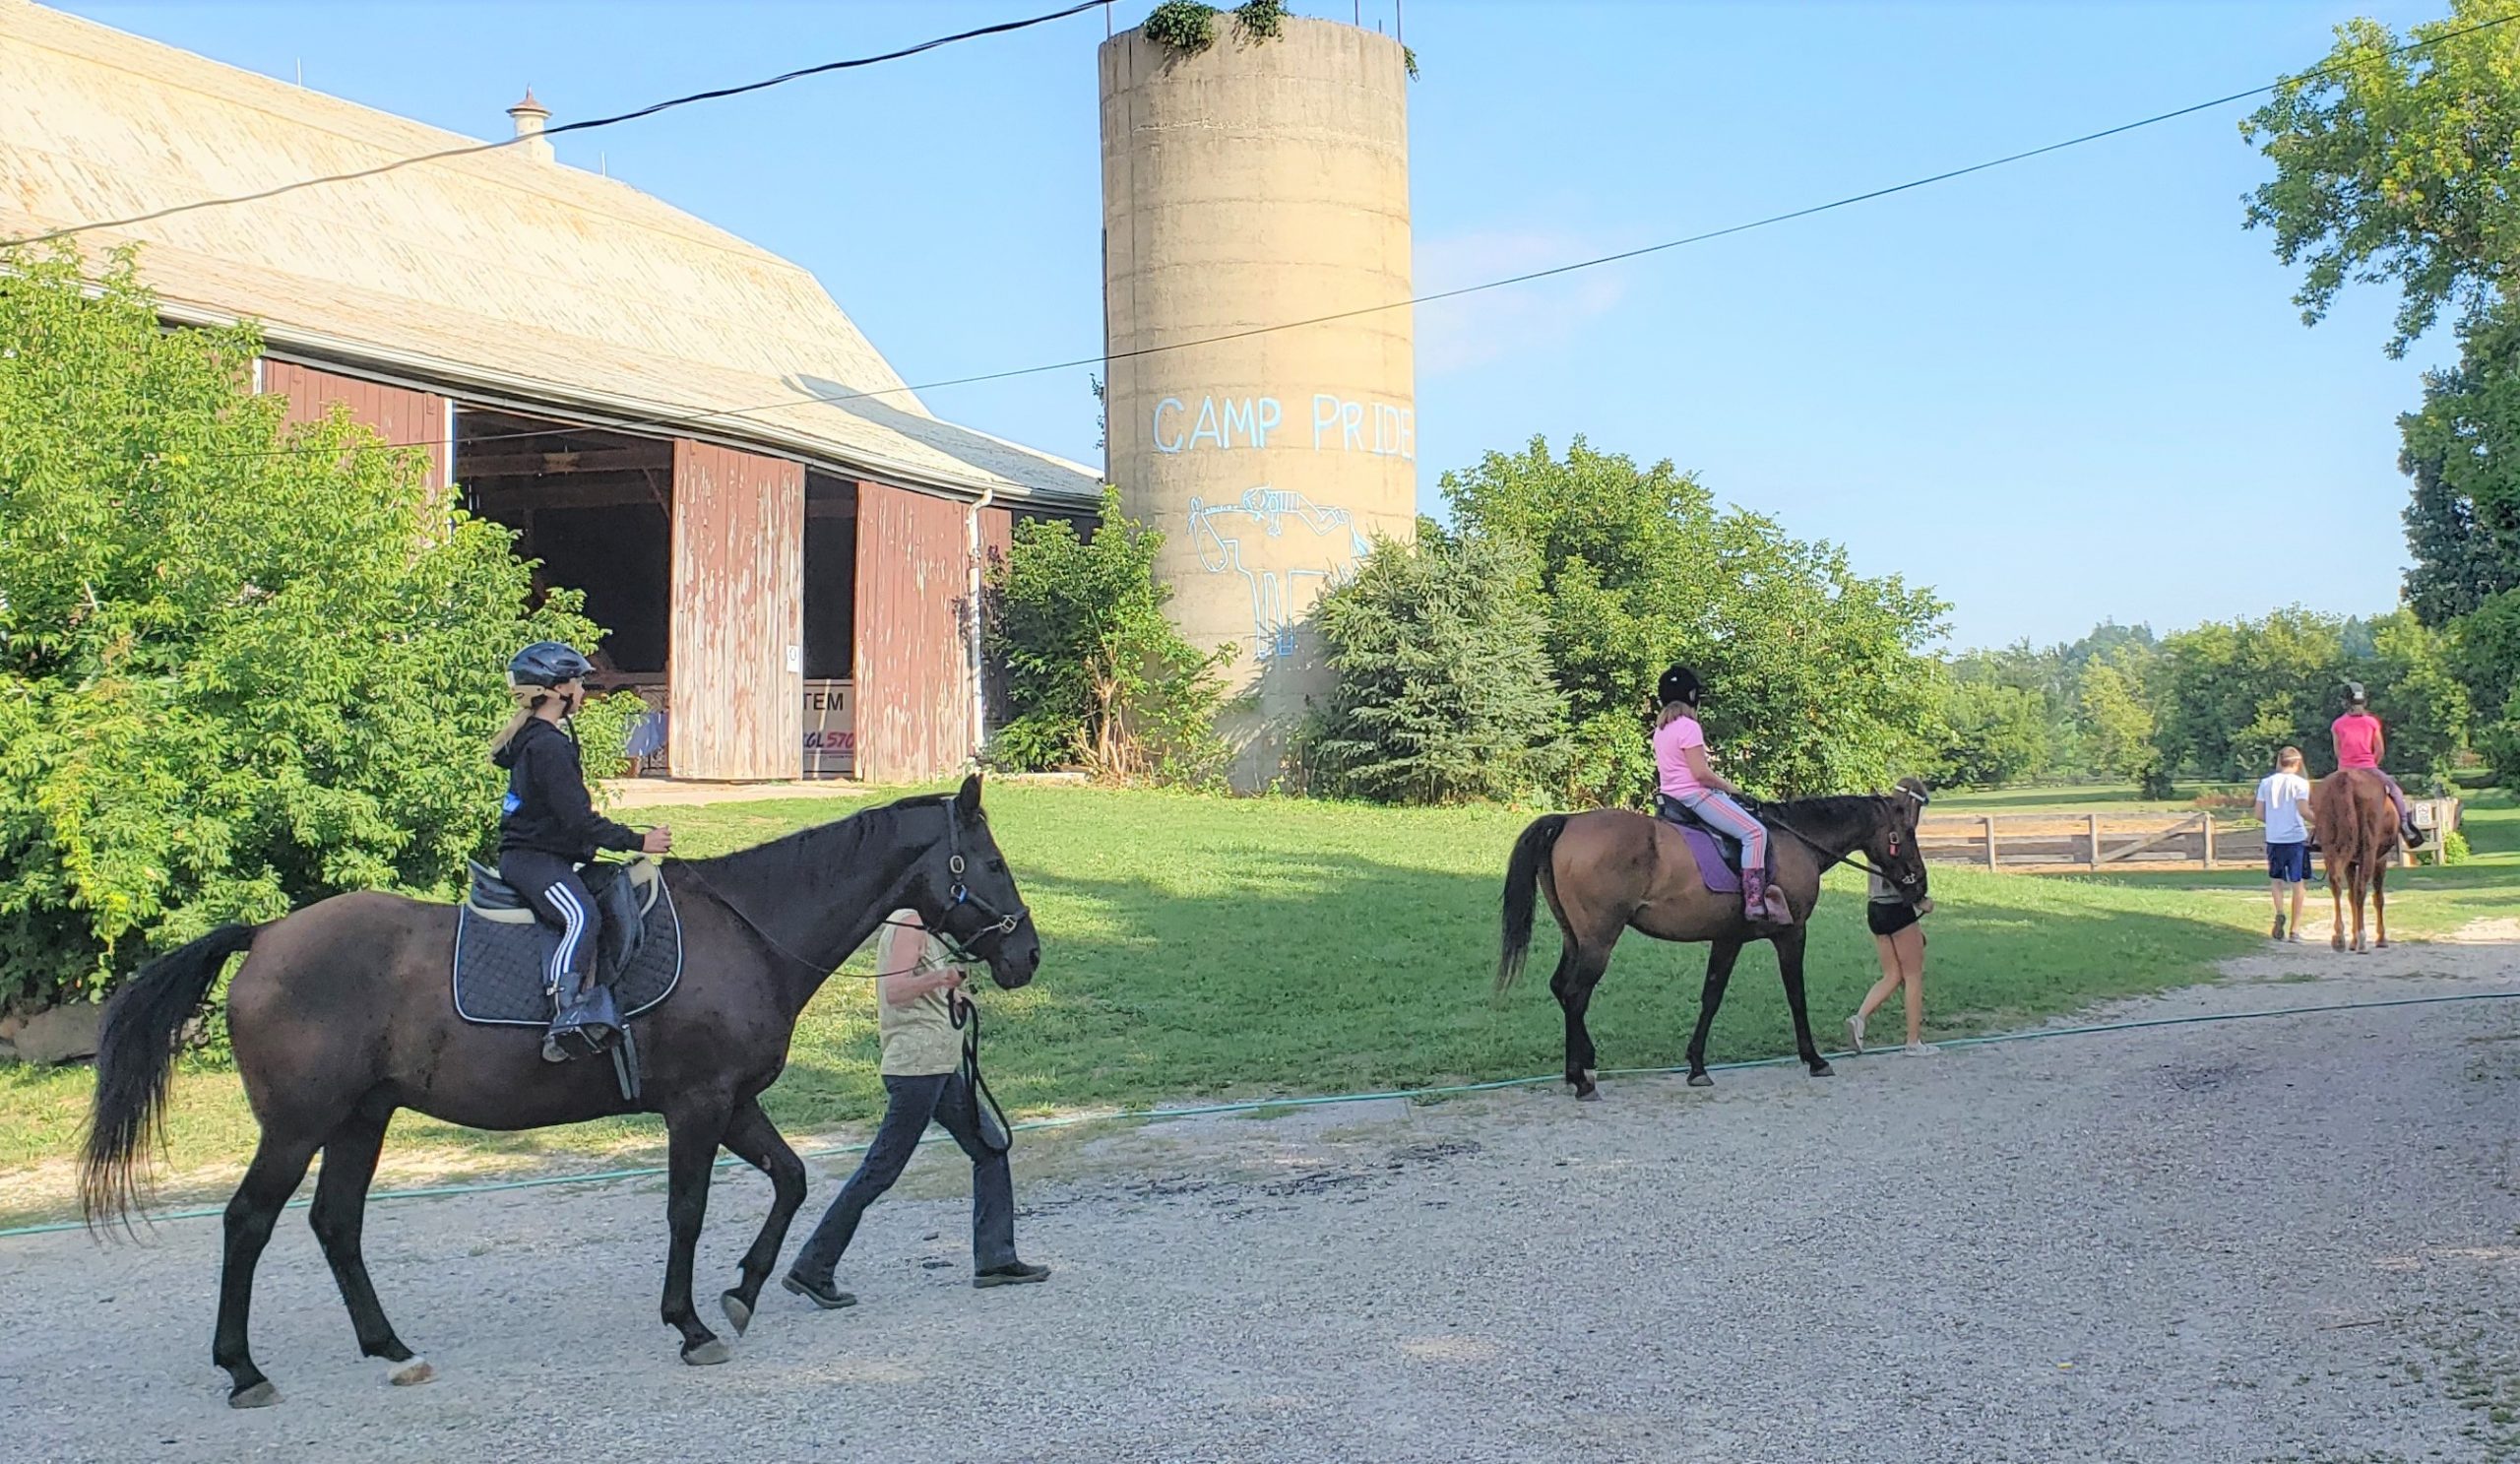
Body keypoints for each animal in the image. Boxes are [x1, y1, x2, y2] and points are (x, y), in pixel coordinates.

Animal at [81, 776, 1033, 1401]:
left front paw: (744, 1292)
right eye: (987, 860)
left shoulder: (734, 1102)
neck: (750, 929)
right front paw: (691, 1323)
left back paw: (389, 1347)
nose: (1026, 955)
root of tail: (268, 934)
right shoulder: (696, 1105)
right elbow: (686, 1209)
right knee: (249, 1221)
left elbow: (793, 1180)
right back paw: (243, 1368)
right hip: (298, 1125)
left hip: (361, 1117)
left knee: (335, 1223)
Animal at [1491, 786, 1924, 1098]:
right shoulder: (1792, 933)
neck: (1795, 842)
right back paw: (1582, 1079)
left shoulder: (1727, 938)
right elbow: (1796, 995)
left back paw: (1579, 1070)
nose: (1919, 883)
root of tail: (1568, 822)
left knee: (1561, 988)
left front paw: (1696, 1066)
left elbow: (1711, 997)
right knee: (1576, 994)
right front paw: (1815, 1059)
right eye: (1905, 833)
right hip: (1598, 941)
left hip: (1575, 938)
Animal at [2307, 760, 2399, 952]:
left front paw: (2352, 940)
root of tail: (2346, 780)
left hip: (2331, 850)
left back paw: (2339, 937)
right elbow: (2377, 897)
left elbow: (2350, 896)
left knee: (2336, 885)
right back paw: (2363, 939)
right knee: (2361, 890)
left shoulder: (2350, 862)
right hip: (2369, 853)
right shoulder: (2381, 860)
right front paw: (2380, 938)